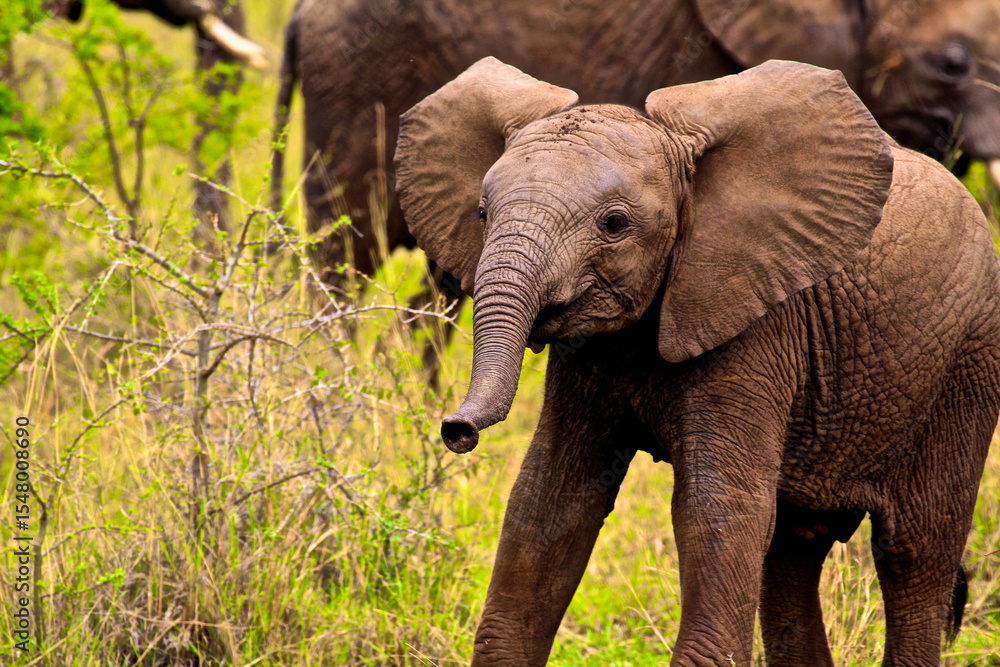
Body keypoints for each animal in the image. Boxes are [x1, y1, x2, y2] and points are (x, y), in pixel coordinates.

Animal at [393, 57, 1000, 666]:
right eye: (481, 213)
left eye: (614, 225)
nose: (456, 430)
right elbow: (549, 503)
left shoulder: (757, 324)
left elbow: (717, 512)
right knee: (792, 549)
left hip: (968, 366)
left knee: (914, 550)